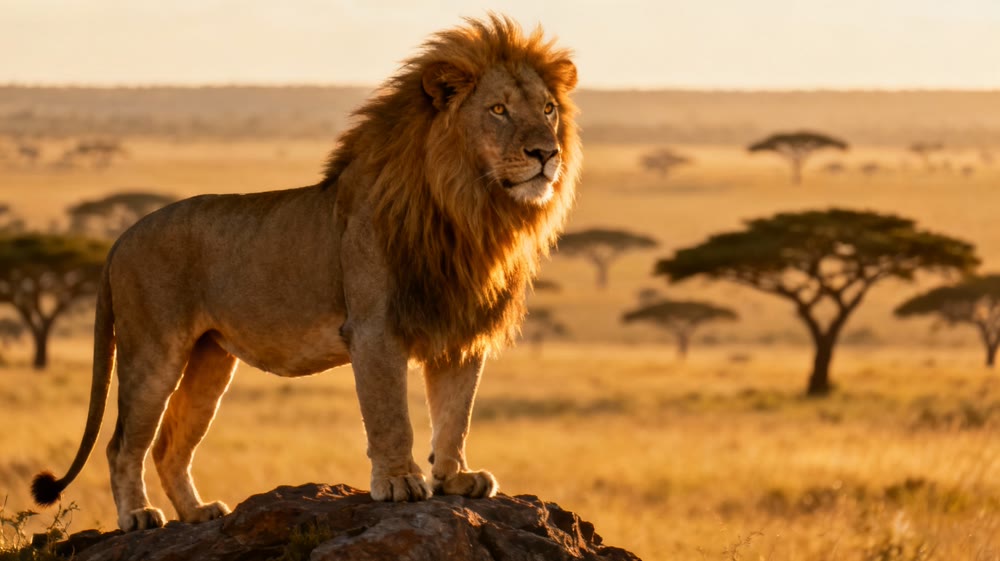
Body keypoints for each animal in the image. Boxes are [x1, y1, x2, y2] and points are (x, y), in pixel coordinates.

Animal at [31, 15, 580, 532]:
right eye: (498, 110)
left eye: (547, 109)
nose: (546, 153)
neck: (469, 208)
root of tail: (122, 237)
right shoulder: (374, 329)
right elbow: (391, 416)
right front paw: (400, 482)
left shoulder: (459, 327)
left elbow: (455, 414)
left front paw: (457, 479)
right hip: (153, 350)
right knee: (123, 443)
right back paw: (138, 516)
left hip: (210, 359)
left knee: (170, 445)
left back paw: (199, 512)